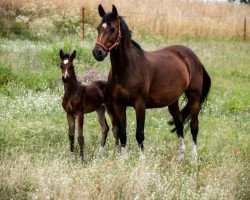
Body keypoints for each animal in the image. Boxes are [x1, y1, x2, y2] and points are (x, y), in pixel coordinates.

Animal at [92, 5, 211, 161]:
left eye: (112, 28)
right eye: (98, 28)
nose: (97, 53)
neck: (127, 69)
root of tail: (195, 58)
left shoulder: (139, 105)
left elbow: (139, 133)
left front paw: (142, 160)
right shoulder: (118, 105)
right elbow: (123, 132)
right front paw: (124, 160)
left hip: (194, 97)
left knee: (194, 126)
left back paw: (194, 158)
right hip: (173, 101)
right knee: (179, 123)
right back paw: (180, 157)